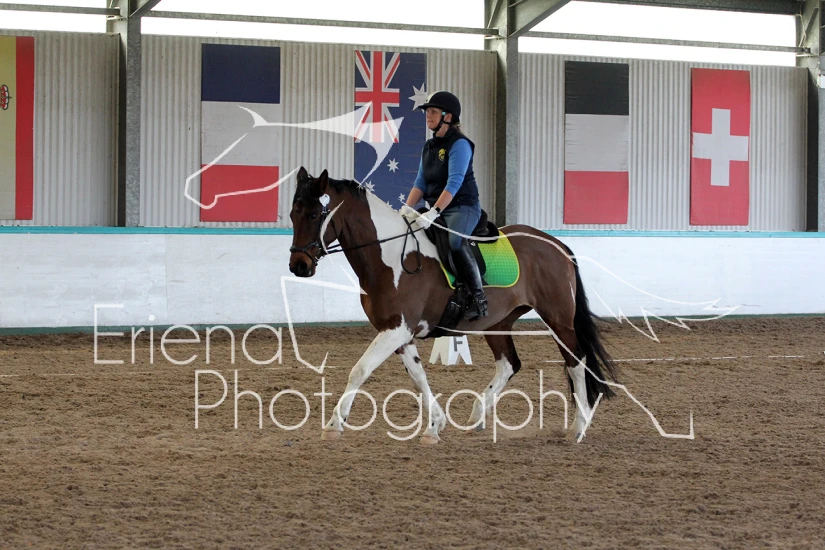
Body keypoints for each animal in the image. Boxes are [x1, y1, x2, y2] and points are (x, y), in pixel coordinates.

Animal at [288, 167, 619, 444]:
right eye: (293, 214)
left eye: (315, 215)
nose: (298, 266)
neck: (389, 256)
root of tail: (557, 245)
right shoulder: (399, 333)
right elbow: (418, 377)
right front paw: (434, 426)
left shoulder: (396, 329)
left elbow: (360, 370)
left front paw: (334, 424)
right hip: (498, 323)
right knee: (509, 364)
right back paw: (476, 416)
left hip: (558, 319)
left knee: (576, 362)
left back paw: (578, 428)